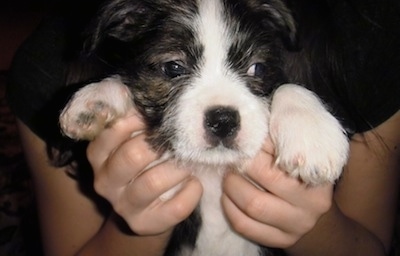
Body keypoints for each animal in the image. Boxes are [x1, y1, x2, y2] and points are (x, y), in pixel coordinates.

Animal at [57, 1, 348, 255]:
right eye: (173, 67)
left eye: (257, 68)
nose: (223, 120)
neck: (212, 171)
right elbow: (127, 79)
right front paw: (95, 98)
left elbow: (288, 86)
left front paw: (313, 137)